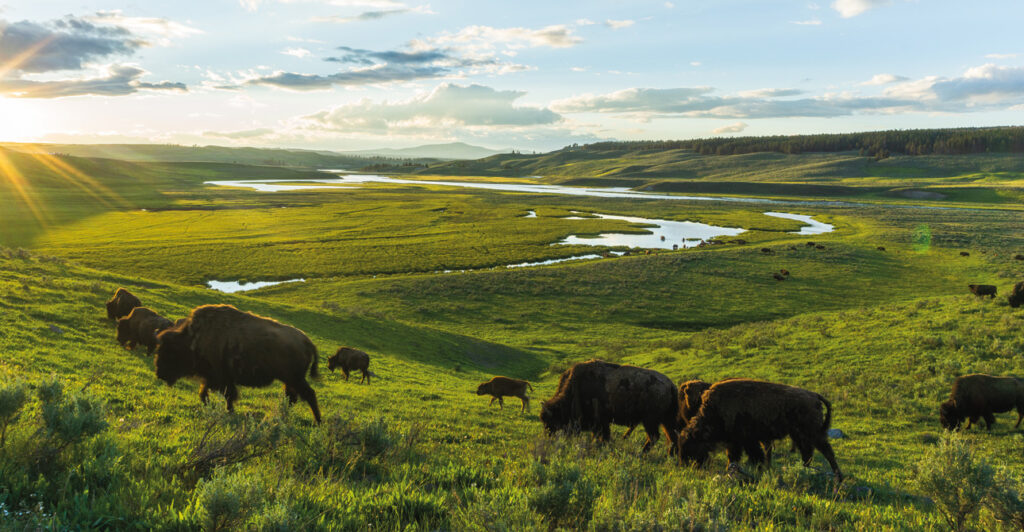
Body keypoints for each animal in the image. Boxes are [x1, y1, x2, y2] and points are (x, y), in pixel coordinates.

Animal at [153, 302, 321, 423]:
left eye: (169, 351)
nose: (159, 373)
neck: (192, 339)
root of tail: (307, 342)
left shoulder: (221, 378)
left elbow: (228, 395)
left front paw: (229, 411)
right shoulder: (212, 378)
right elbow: (204, 393)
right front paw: (211, 406)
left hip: (295, 379)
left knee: (308, 394)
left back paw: (317, 422)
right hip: (289, 380)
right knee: (292, 397)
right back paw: (281, 416)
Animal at [544, 358, 679, 452]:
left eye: (553, 421)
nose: (549, 439)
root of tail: (671, 385)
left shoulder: (601, 421)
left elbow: (603, 436)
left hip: (650, 420)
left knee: (654, 437)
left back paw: (642, 453)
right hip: (666, 420)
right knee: (671, 437)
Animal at [675, 378, 843, 482]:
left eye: (691, 446)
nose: (686, 466)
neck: (713, 411)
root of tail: (814, 395)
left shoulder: (744, 441)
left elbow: (751, 455)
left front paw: (758, 469)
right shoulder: (738, 442)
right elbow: (737, 456)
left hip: (813, 433)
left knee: (827, 452)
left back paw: (838, 477)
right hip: (800, 435)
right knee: (808, 453)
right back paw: (805, 470)